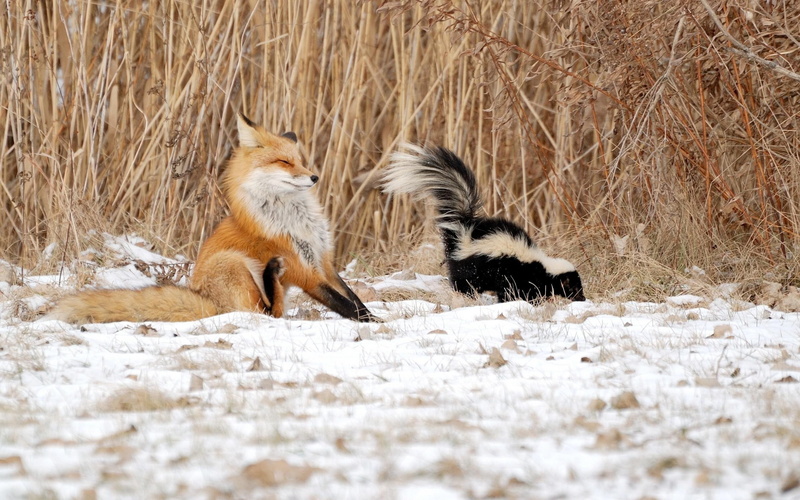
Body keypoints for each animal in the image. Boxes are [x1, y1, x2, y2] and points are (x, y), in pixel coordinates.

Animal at [51, 113, 378, 324]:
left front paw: (374, 317)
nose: (314, 177)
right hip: (232, 263)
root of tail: (208, 302)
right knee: (265, 313)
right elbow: (346, 306)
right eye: (284, 162)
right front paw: (374, 324)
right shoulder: (304, 271)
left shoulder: (323, 261)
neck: (296, 220)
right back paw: (270, 274)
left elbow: (353, 297)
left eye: (300, 160)